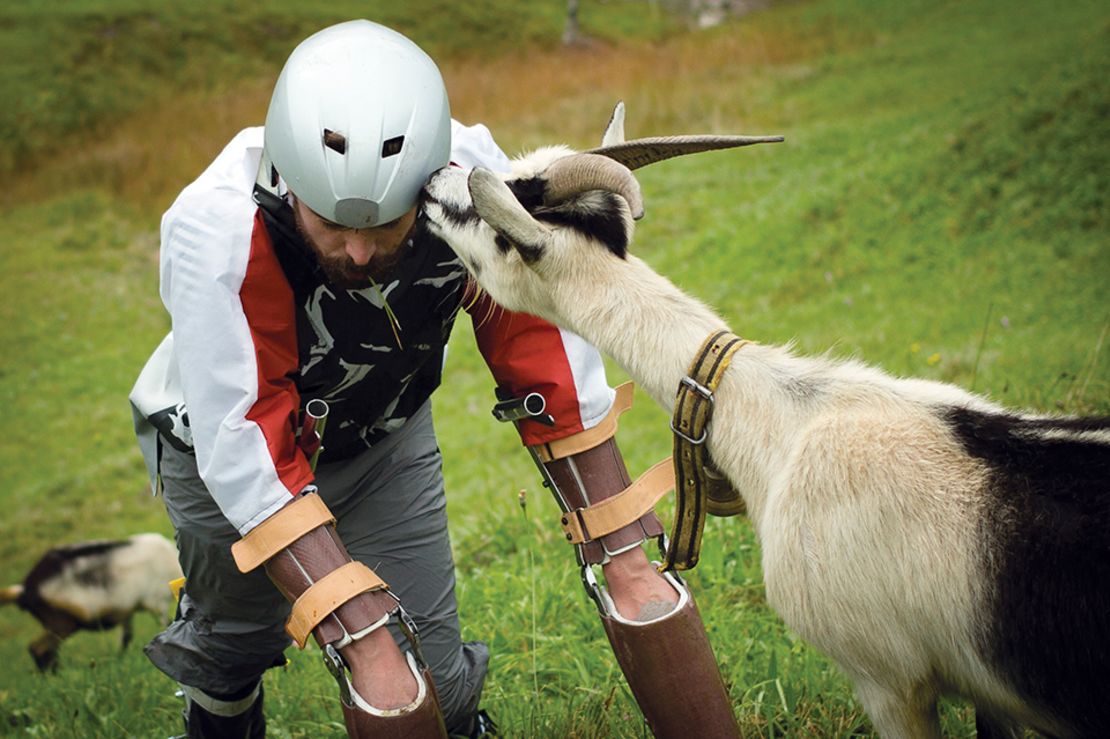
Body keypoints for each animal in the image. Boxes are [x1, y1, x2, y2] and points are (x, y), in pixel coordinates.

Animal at [0, 530, 180, 665]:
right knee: (38, 648)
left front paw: (119, 660)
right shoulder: (157, 603)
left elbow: (126, 638)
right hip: (62, 623)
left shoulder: (126, 612)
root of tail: (25, 590)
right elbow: (167, 625)